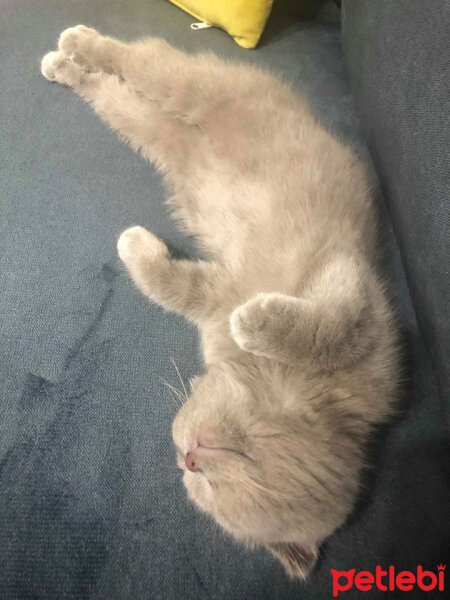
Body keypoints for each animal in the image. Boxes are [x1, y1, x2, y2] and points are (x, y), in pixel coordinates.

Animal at [40, 25, 400, 580]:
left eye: (203, 485)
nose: (188, 459)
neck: (279, 384)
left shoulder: (214, 294)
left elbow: (170, 284)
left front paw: (134, 247)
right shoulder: (355, 289)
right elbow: (328, 331)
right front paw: (257, 322)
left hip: (154, 133)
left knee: (115, 95)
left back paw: (66, 66)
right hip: (199, 89)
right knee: (141, 59)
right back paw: (78, 43)